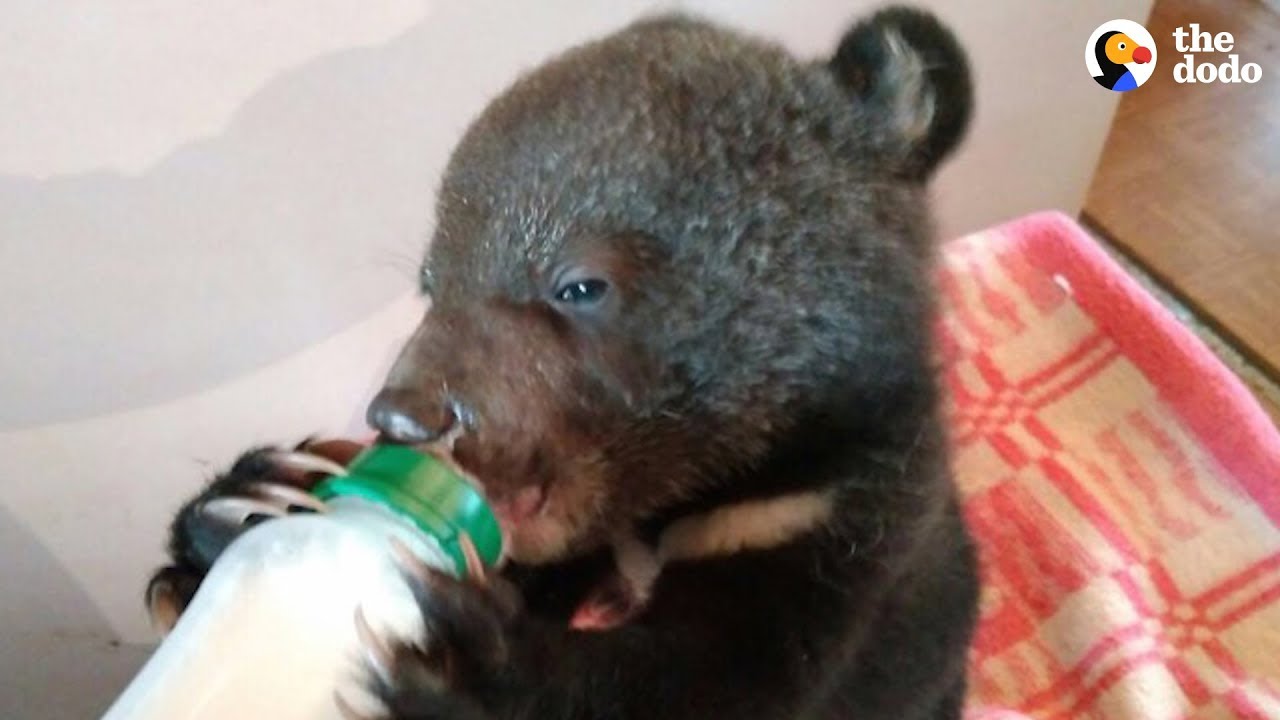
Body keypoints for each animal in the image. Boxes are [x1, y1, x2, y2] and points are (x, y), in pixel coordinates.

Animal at [146, 7, 979, 719]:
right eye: (430, 282)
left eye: (579, 285)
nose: (405, 414)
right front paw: (254, 496)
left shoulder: (823, 522)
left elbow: (727, 673)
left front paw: (461, 662)